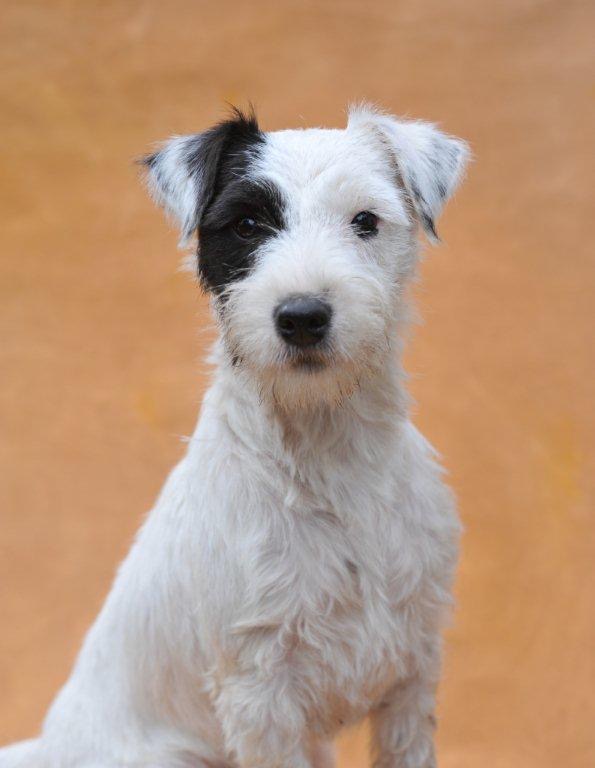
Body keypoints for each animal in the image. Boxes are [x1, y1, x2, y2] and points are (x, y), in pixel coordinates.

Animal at [0, 104, 468, 768]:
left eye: (365, 221)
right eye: (247, 224)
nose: (302, 317)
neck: (329, 455)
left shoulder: (413, 668)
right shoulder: (261, 692)